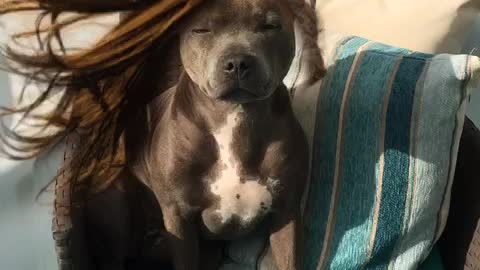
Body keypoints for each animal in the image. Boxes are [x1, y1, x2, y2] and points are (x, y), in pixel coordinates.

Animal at [124, 0, 310, 268]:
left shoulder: (288, 211)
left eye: (270, 25)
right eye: (201, 30)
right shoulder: (178, 218)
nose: (238, 62)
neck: (234, 118)